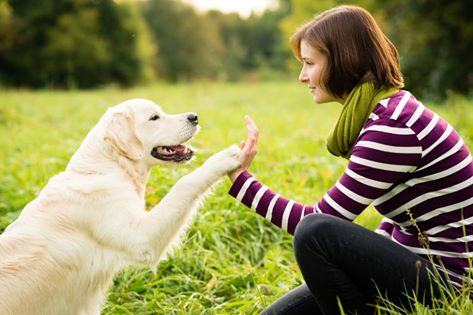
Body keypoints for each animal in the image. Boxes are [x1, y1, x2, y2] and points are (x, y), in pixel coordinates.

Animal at [0, 97, 240, 314]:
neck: (106, 170)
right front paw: (224, 157)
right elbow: (184, 183)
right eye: (154, 117)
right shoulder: (141, 237)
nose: (194, 117)